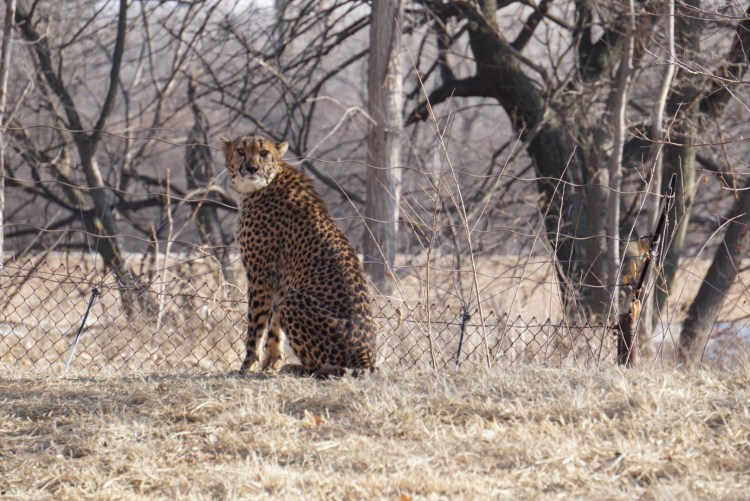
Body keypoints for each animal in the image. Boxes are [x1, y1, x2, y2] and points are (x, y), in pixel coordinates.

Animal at [220, 134, 377, 377]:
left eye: (263, 153)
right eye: (240, 151)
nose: (252, 168)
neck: (262, 185)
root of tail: (366, 359)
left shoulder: (260, 274)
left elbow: (255, 326)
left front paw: (247, 366)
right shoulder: (279, 280)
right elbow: (274, 327)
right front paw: (270, 365)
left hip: (294, 302)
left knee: (327, 369)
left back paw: (297, 368)